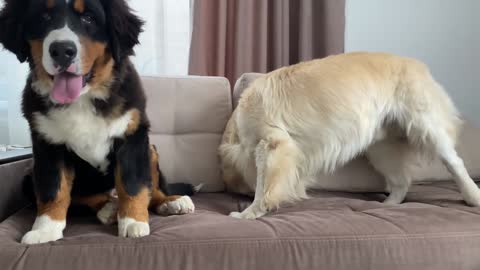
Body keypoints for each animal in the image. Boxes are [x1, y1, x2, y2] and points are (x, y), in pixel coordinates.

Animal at [0, 0, 195, 245]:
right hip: (28, 178)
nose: (62, 50)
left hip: (149, 149)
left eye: (89, 18)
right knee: (86, 198)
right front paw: (45, 229)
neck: (83, 98)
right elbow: (54, 189)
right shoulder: (48, 145)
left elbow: (134, 184)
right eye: (44, 16)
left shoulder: (131, 136)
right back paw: (108, 208)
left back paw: (171, 201)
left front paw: (133, 222)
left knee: (152, 189)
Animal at [219, 51, 480, 219]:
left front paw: (249, 213)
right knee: (401, 181)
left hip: (426, 127)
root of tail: (418, 64)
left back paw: (472, 195)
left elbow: (264, 187)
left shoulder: (273, 144)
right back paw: (388, 205)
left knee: (454, 162)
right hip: (381, 147)